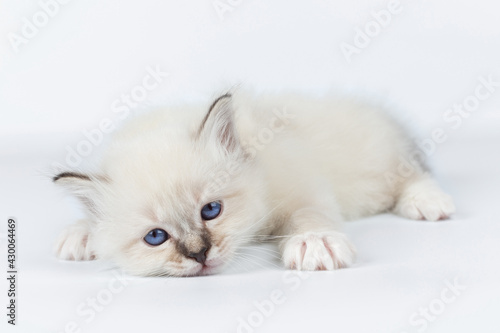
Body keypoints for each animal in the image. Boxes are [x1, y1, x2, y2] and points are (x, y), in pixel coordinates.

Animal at [52, 90, 456, 274]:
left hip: (379, 169)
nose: (199, 254)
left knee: (413, 173)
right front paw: (82, 233)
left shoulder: (301, 184)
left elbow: (309, 214)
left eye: (211, 210)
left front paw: (314, 243)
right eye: (155, 237)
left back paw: (427, 202)